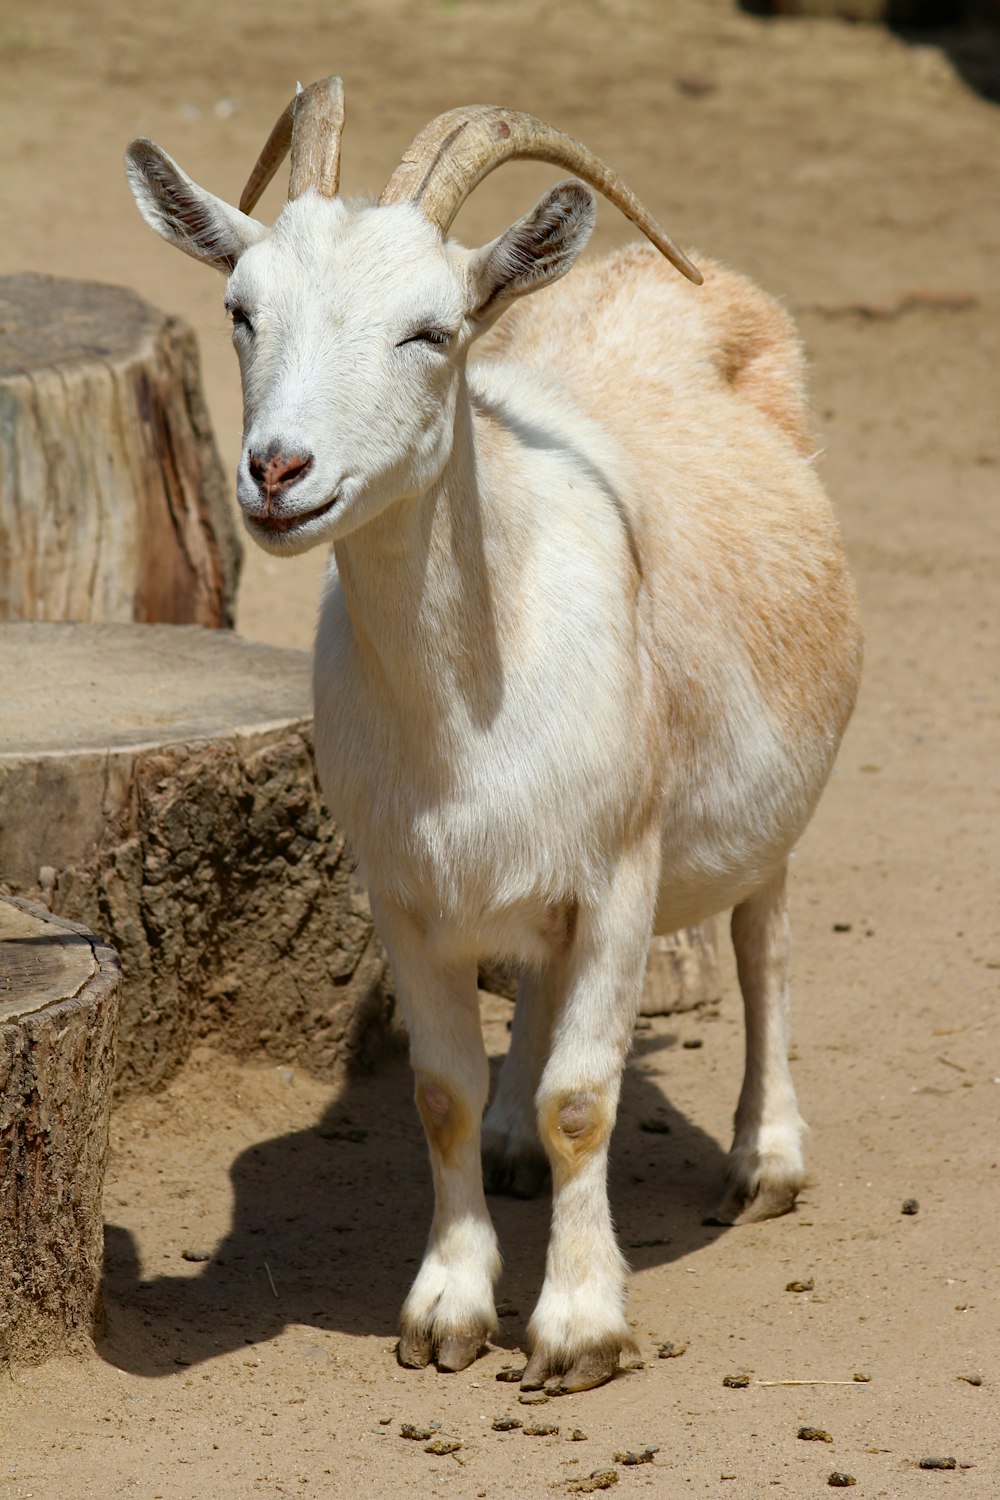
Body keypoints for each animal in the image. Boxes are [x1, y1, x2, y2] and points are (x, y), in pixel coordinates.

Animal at [125, 79, 863, 1392]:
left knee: (763, 943)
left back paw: (763, 1161)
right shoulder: (404, 889)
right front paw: (449, 1308)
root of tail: (682, 283)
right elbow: (440, 1094)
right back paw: (520, 1146)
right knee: (537, 980)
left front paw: (576, 1328)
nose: (277, 471)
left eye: (431, 330)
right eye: (239, 311)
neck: (472, 695)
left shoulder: (620, 874)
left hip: (766, 808)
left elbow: (588, 1098)